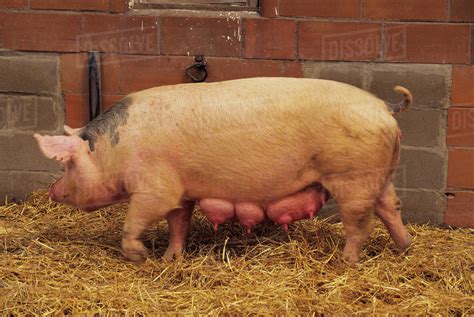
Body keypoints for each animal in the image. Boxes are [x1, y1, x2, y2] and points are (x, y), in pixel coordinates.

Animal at [33, 78, 412, 262]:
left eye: (67, 164)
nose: (52, 190)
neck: (116, 150)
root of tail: (385, 107)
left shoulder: (155, 188)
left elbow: (136, 219)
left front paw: (141, 257)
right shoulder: (182, 191)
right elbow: (178, 223)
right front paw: (171, 259)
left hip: (353, 178)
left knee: (360, 222)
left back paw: (345, 262)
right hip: (383, 174)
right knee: (391, 207)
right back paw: (405, 248)